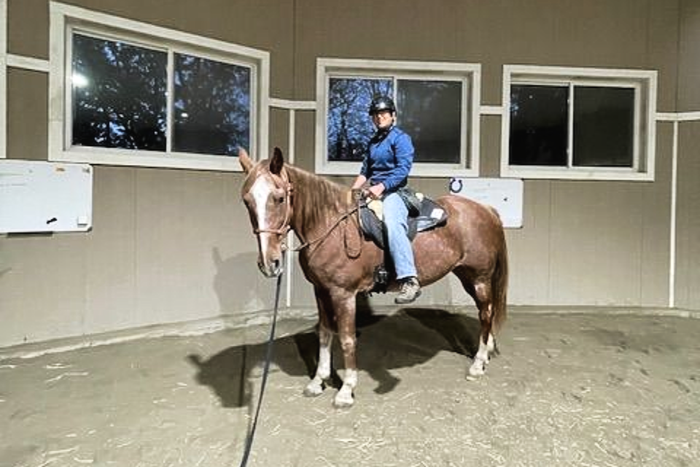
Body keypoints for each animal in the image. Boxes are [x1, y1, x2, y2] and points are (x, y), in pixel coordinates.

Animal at [239, 147, 508, 408]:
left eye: (279, 198)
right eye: (247, 201)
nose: (269, 263)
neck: (331, 226)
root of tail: (486, 210)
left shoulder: (343, 294)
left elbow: (347, 338)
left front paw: (346, 391)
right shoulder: (321, 291)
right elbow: (324, 333)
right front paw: (318, 381)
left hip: (480, 277)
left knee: (486, 313)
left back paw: (477, 364)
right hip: (467, 275)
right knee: (488, 311)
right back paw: (487, 352)